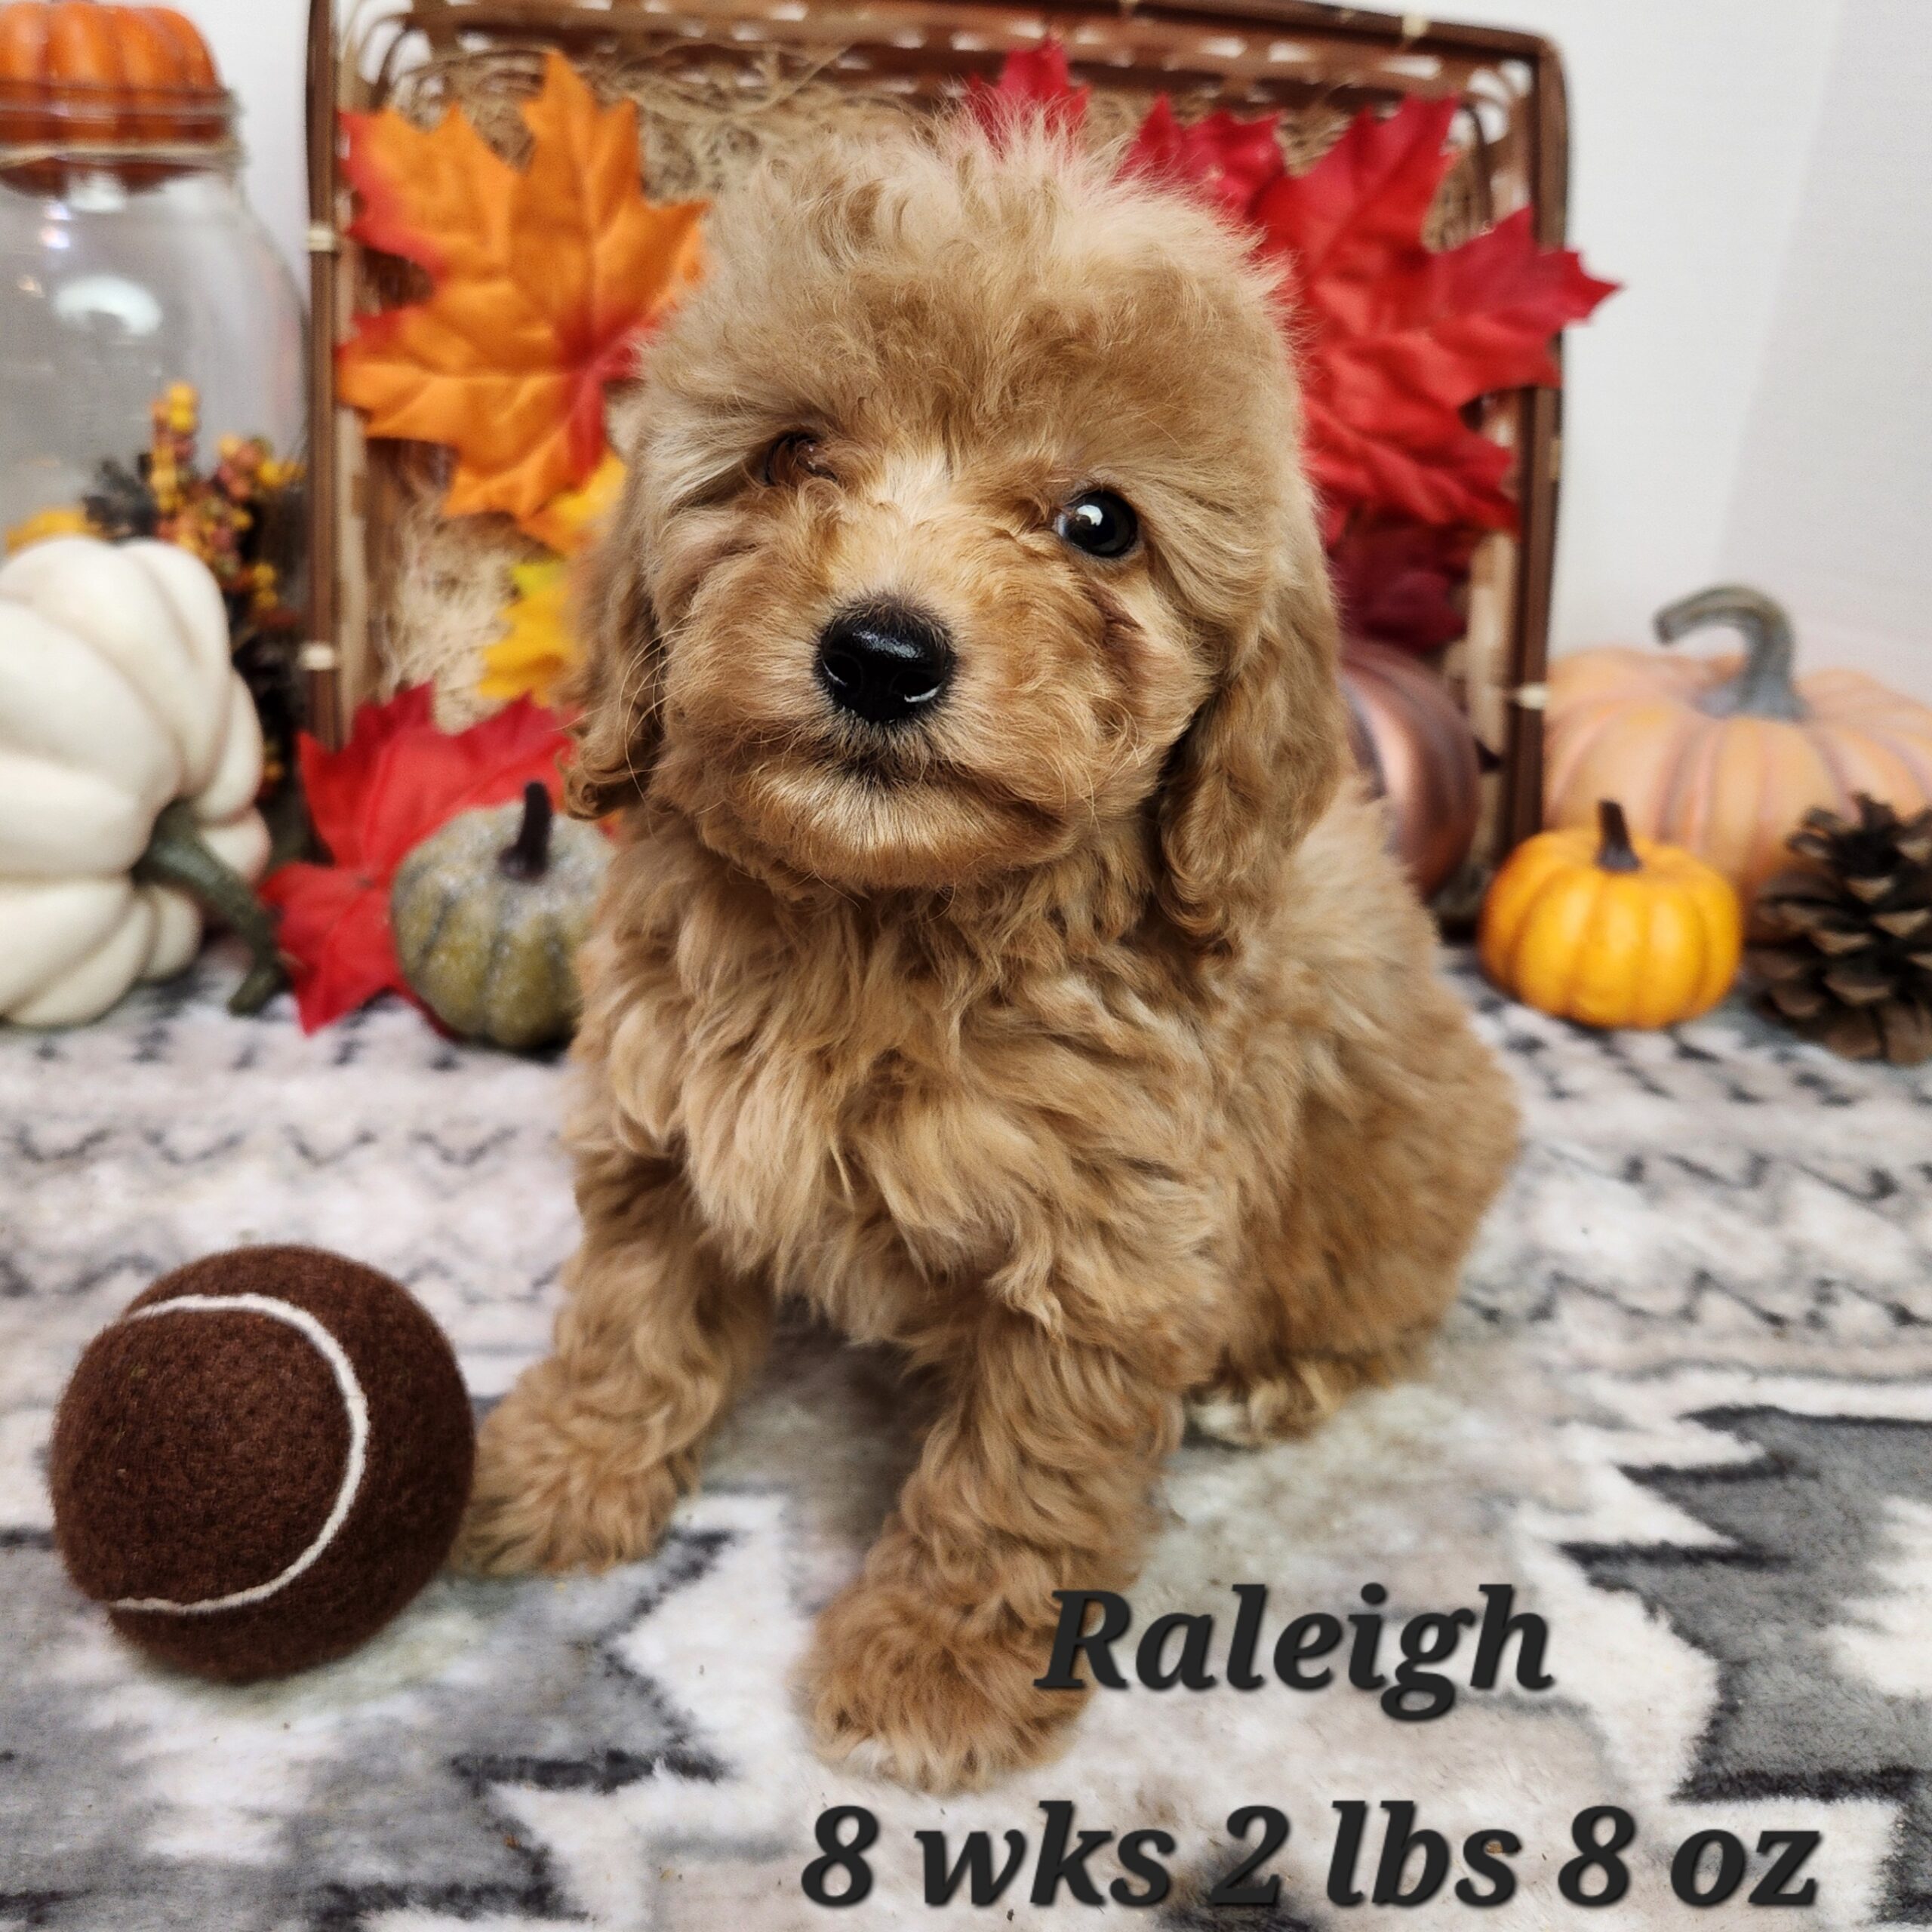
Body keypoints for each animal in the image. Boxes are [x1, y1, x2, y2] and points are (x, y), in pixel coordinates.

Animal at [460, 116, 1515, 1777]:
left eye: (1099, 524)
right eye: (792, 456)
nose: (882, 654)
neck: (880, 917)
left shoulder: (1105, 1246)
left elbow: (1018, 1475)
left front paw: (936, 1668)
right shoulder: (666, 1123)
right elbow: (629, 1322)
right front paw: (556, 1472)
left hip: (1401, 1186)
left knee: (1375, 1309)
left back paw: (1273, 1379)